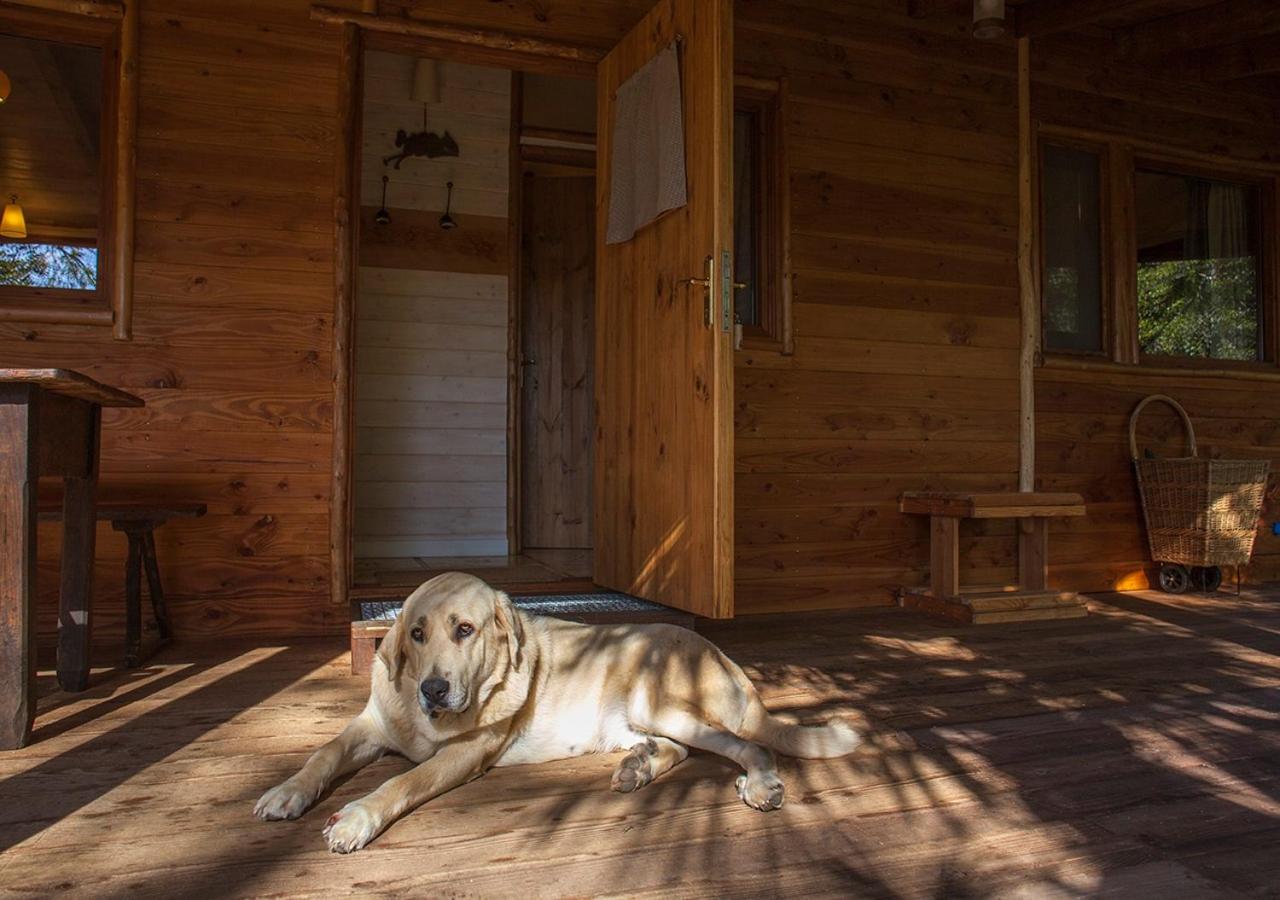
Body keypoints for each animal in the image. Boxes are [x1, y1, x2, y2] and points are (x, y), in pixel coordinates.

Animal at [252, 573, 860, 855]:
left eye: (464, 630)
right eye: (417, 634)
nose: (433, 690)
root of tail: (724, 656)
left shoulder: (464, 754)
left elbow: (402, 781)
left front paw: (356, 817)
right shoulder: (370, 724)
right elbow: (323, 753)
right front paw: (287, 791)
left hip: (660, 699)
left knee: (748, 745)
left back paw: (759, 785)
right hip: (642, 719)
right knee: (680, 748)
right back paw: (637, 767)